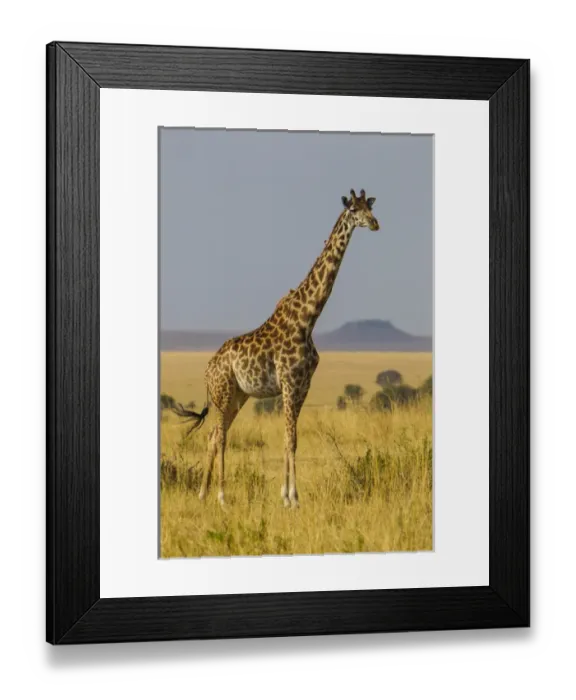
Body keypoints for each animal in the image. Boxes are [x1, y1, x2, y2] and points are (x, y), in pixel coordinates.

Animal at [172, 189, 379, 508]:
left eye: (370, 207)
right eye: (354, 210)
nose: (375, 223)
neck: (308, 319)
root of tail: (207, 369)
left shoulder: (302, 386)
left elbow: (289, 439)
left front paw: (286, 496)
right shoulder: (289, 382)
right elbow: (290, 439)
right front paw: (292, 498)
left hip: (238, 396)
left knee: (214, 435)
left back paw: (203, 494)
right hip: (223, 392)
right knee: (220, 437)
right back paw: (221, 496)